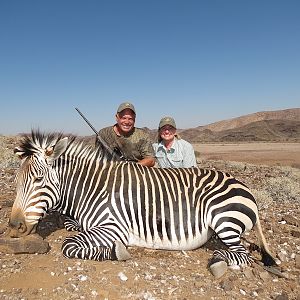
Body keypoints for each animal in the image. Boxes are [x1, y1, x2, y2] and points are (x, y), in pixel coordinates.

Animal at [9, 130, 276, 278]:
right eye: (17, 180)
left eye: (38, 179)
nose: (14, 226)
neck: (90, 189)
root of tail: (244, 187)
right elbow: (71, 226)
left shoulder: (112, 227)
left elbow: (68, 246)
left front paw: (117, 252)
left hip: (223, 218)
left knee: (242, 255)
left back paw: (218, 261)